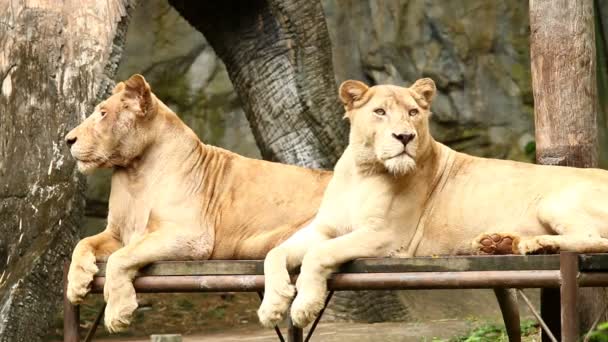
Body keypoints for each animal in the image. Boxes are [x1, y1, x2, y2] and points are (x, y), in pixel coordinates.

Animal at [64, 74, 330, 332]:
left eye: (103, 113)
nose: (68, 140)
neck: (135, 175)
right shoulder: (117, 233)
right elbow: (82, 244)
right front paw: (76, 284)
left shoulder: (192, 238)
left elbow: (120, 258)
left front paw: (117, 312)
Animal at [258, 78, 608, 328]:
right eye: (380, 112)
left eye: (413, 113)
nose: (404, 137)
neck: (364, 171)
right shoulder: (323, 228)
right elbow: (274, 254)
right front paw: (271, 307)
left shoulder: (387, 237)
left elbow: (319, 255)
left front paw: (304, 307)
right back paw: (499, 243)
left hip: (555, 201)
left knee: (593, 239)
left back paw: (538, 244)